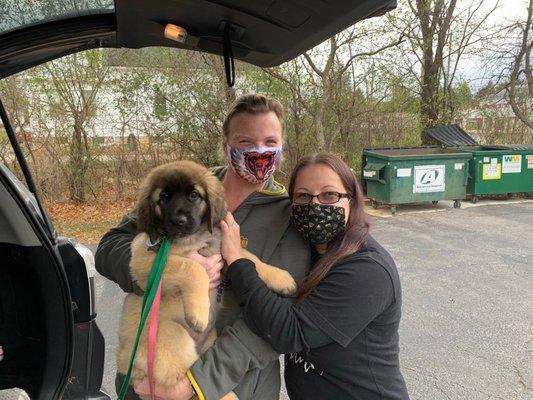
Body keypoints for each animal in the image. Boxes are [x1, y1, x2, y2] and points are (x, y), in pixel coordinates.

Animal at [116, 161, 298, 398]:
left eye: (194, 195)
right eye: (163, 197)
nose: (179, 221)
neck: (195, 237)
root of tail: (124, 363)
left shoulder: (222, 252)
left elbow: (251, 258)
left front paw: (282, 278)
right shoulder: (144, 259)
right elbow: (193, 268)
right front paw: (198, 313)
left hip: (209, 337)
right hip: (170, 335)